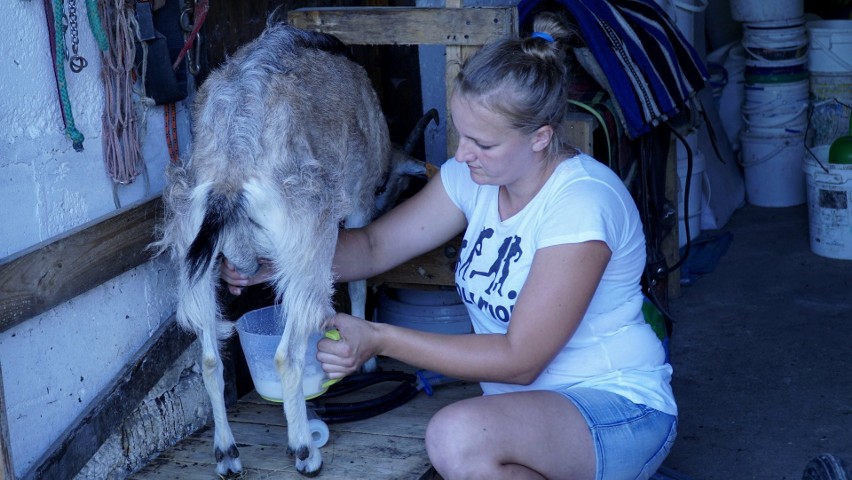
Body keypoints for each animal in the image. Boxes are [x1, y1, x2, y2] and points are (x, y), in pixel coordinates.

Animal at [154, 21, 426, 476]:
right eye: (387, 187)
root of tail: (230, 173)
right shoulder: (357, 203)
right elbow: (359, 282)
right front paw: (369, 363)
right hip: (308, 237)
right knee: (286, 355)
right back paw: (304, 450)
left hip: (192, 249)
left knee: (209, 358)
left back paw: (227, 454)